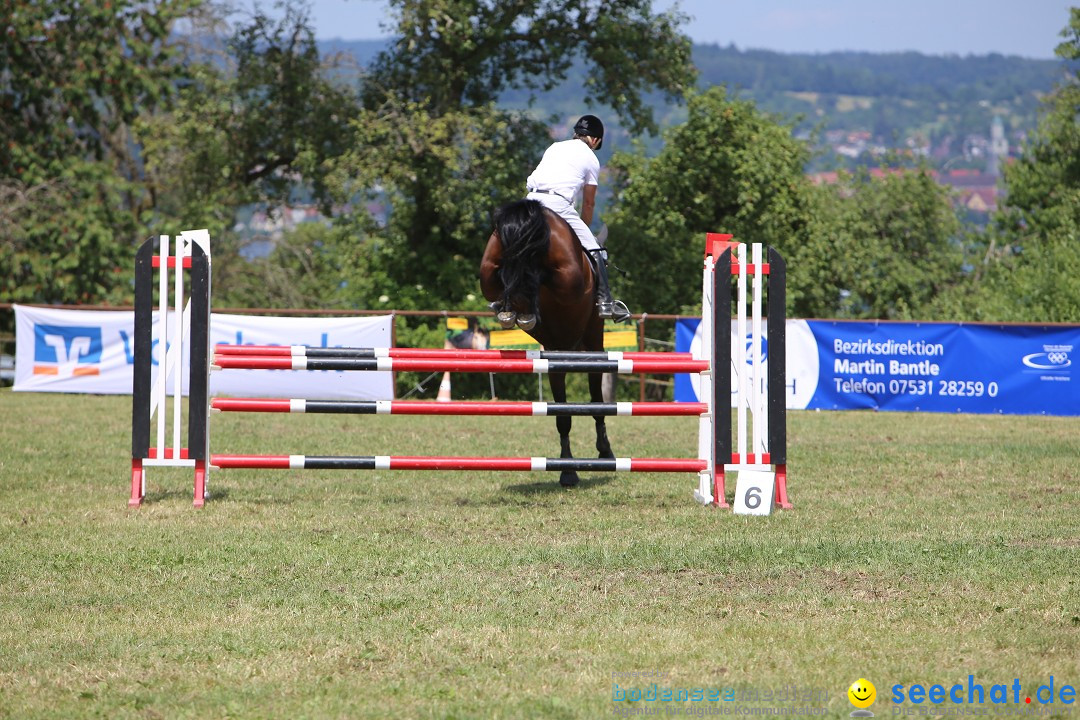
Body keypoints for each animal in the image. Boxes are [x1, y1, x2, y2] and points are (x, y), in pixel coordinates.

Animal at [477, 199, 613, 487]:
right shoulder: (589, 339)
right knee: (538, 274)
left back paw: (514, 308)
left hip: (490, 260)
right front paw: (598, 453)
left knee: (510, 274)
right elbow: (591, 402)